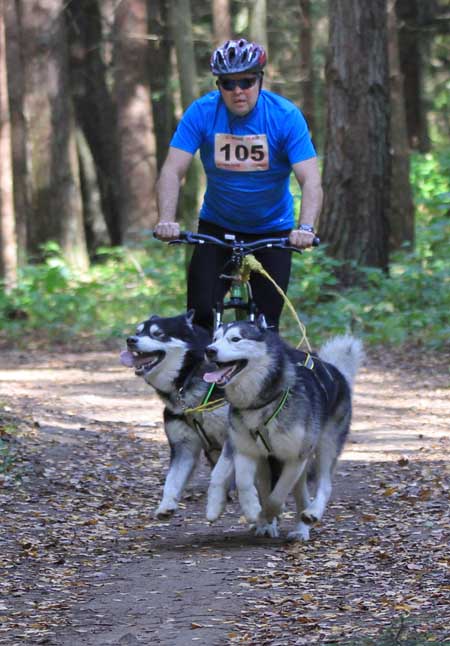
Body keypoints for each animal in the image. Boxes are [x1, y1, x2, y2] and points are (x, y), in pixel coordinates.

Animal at [119, 312, 229, 520]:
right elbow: (172, 480)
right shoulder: (183, 445)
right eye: (138, 332)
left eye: (158, 334)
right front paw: (166, 505)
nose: (130, 340)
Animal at [206, 318, 364, 540]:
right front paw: (254, 511)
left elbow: (277, 495)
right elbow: (245, 483)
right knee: (283, 489)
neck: (263, 401)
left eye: (235, 339)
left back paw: (309, 517)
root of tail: (336, 372)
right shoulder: (246, 450)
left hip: (326, 445)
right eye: (214, 338)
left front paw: (271, 512)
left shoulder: (295, 457)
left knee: (323, 485)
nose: (209, 350)